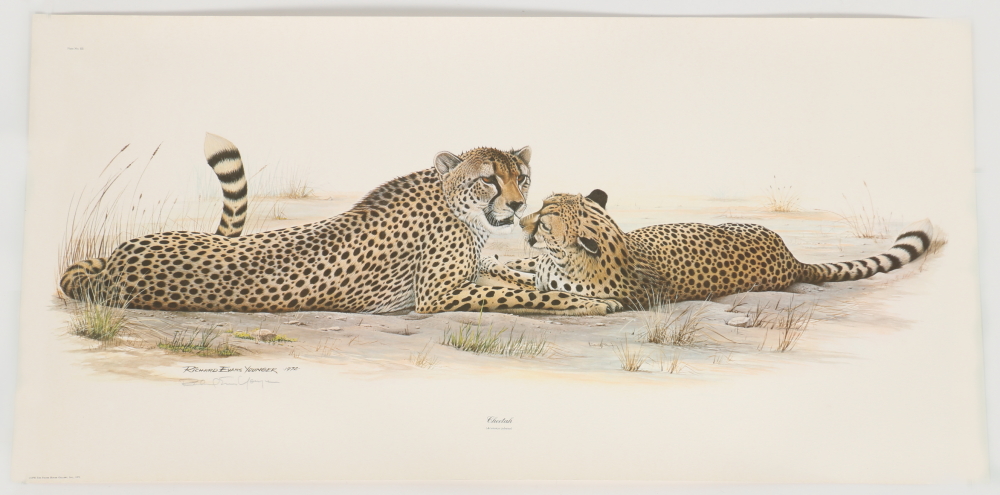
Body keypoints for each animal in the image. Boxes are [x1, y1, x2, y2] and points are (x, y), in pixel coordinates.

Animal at [59, 134, 622, 315]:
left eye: (521, 177)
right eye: (488, 180)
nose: (517, 206)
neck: (455, 206)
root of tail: (111, 265)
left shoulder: (480, 268)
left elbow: (519, 274)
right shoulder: (437, 297)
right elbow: (529, 294)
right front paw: (593, 302)